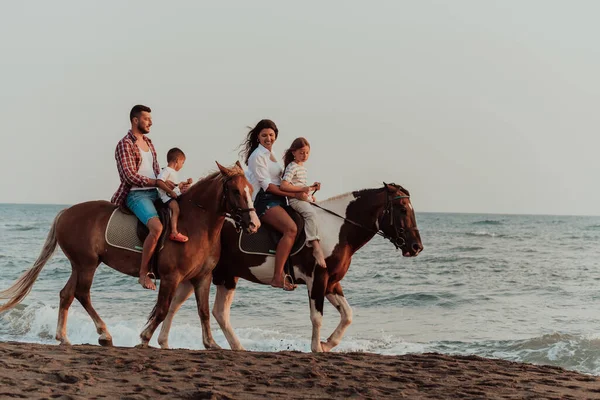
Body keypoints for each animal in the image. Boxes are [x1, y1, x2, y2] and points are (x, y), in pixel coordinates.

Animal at [0, 161, 260, 348]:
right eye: (235, 191)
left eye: (250, 189)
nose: (254, 224)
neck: (196, 225)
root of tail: (65, 212)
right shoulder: (171, 277)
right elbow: (163, 308)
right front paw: (144, 337)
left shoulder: (202, 277)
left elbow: (204, 311)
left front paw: (211, 343)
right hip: (87, 264)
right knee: (82, 294)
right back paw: (104, 334)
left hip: (80, 264)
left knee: (67, 294)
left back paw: (64, 337)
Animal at [157, 183, 424, 352]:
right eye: (402, 209)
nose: (416, 246)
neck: (337, 228)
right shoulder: (318, 279)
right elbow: (317, 317)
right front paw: (317, 347)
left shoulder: (332, 282)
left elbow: (347, 315)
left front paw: (327, 343)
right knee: (192, 306)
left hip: (219, 275)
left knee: (200, 308)